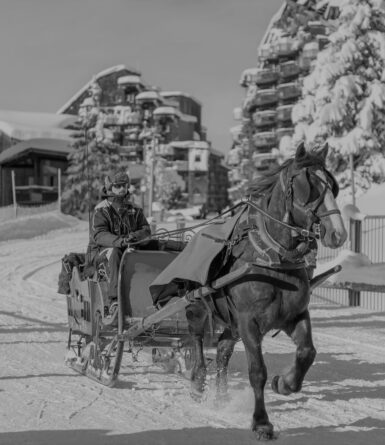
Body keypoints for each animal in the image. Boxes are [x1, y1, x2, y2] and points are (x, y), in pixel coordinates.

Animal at [184, 141, 346, 438]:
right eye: (308, 185)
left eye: (332, 185)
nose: (338, 233)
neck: (273, 258)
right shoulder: (249, 321)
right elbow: (257, 371)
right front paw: (261, 422)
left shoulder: (295, 315)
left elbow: (307, 352)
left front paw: (284, 383)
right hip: (198, 306)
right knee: (197, 338)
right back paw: (198, 381)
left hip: (232, 323)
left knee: (223, 350)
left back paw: (221, 396)